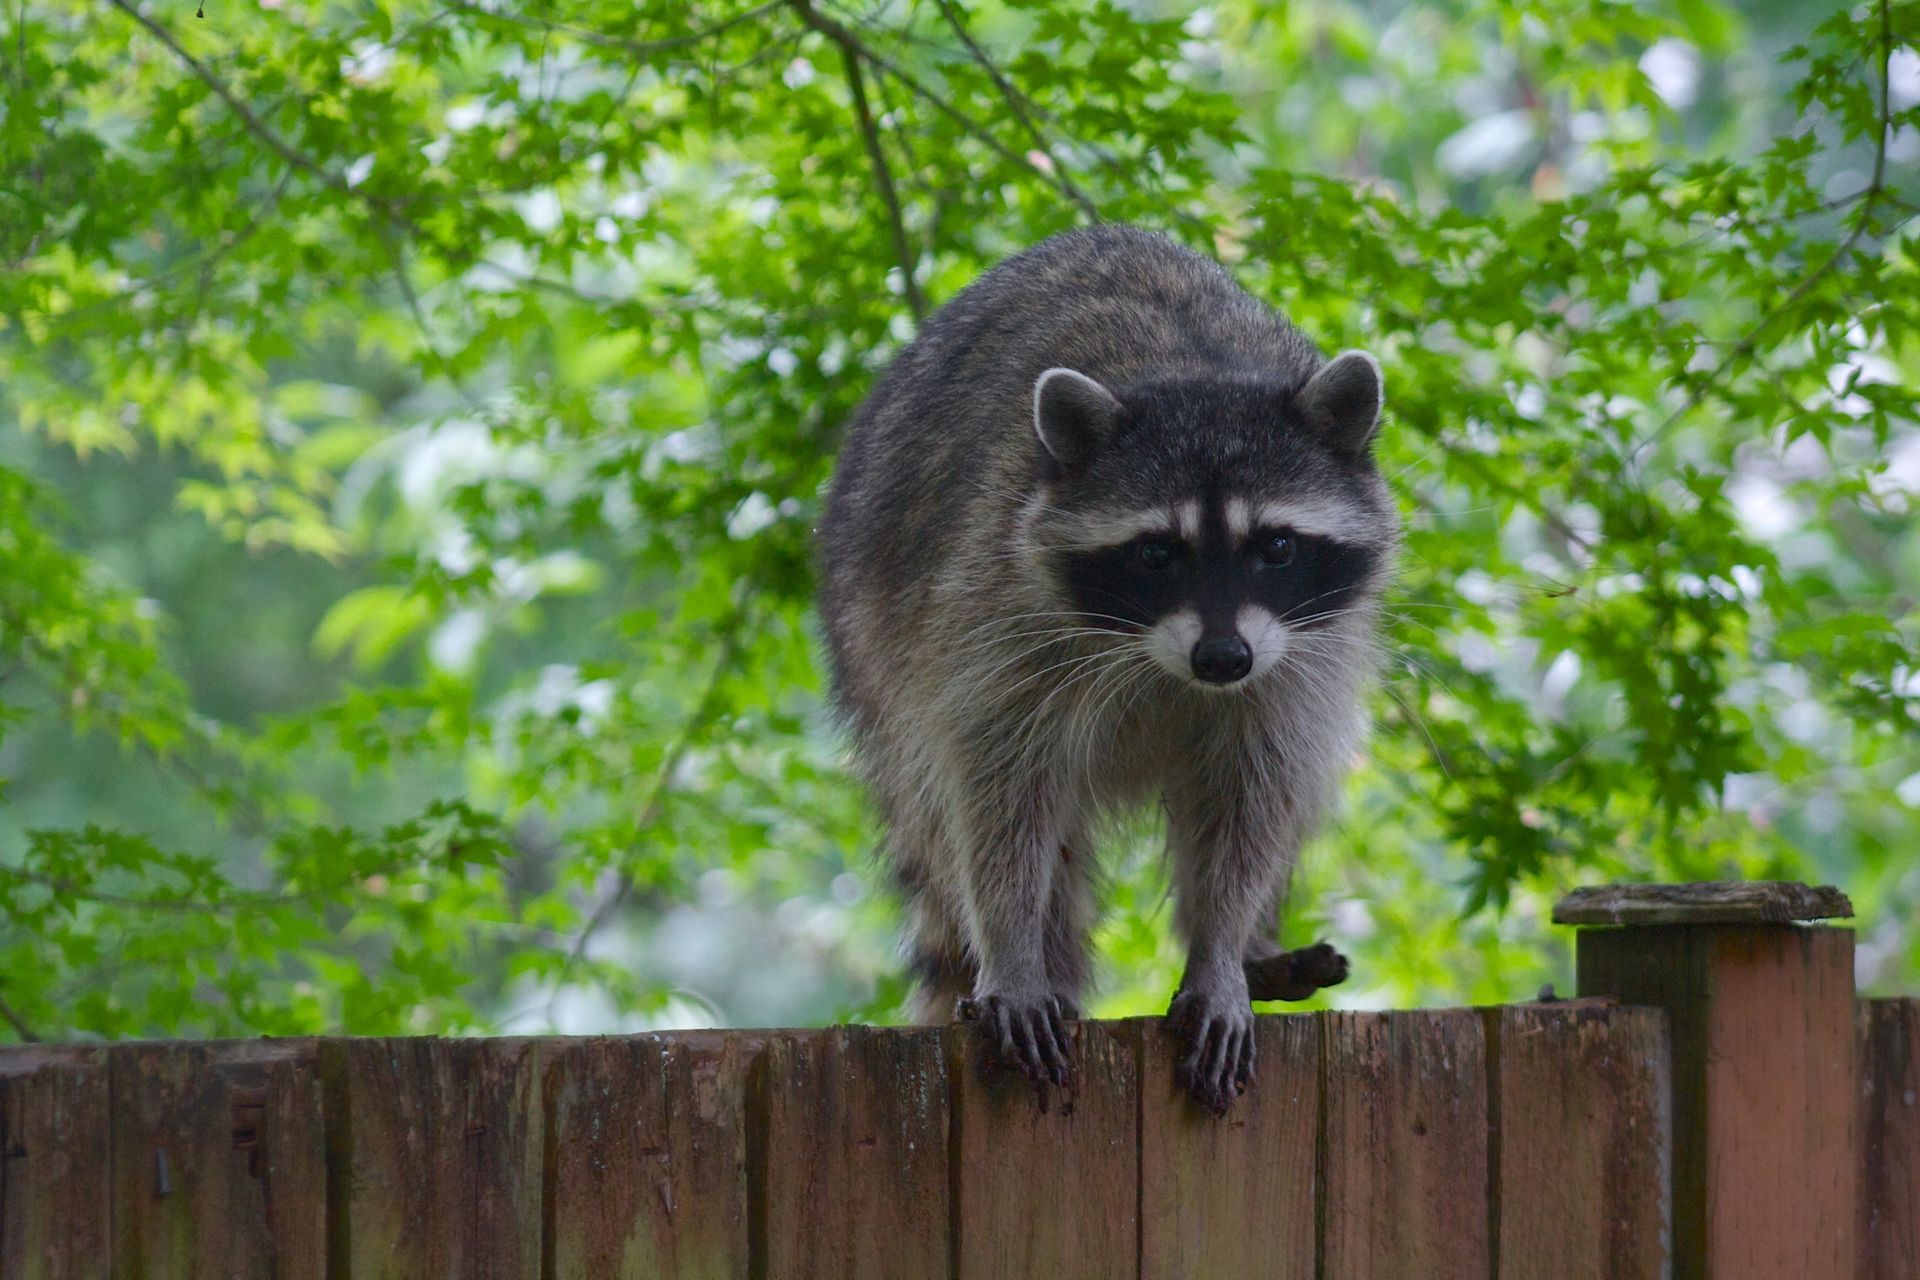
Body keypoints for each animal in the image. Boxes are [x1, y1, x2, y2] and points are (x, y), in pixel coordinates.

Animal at [814, 227, 1397, 1113]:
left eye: (1277, 546)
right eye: (1157, 553)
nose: (1222, 658)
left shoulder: (1300, 660)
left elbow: (1254, 799)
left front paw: (1220, 948)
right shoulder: (990, 614)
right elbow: (998, 792)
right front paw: (1014, 949)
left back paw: (1255, 952)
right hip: (874, 637)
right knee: (939, 794)